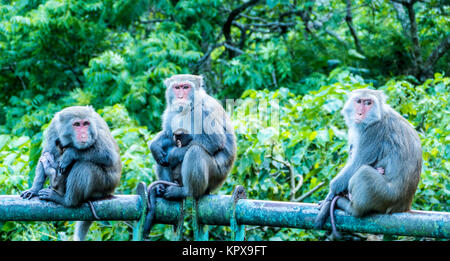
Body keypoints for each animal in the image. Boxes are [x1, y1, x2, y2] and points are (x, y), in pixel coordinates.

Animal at [21, 105, 121, 240]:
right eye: (77, 124)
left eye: (86, 124)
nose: (84, 134)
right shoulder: (53, 127)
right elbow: (47, 151)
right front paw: (34, 189)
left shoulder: (97, 127)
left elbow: (107, 154)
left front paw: (70, 153)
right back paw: (53, 175)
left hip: (104, 185)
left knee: (84, 166)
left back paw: (66, 200)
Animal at [312, 88, 422, 239]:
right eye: (359, 101)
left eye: (368, 103)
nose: (359, 113)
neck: (377, 116)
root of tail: (404, 206)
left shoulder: (373, 131)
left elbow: (357, 164)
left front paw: (331, 193)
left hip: (385, 195)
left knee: (363, 173)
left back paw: (350, 207)